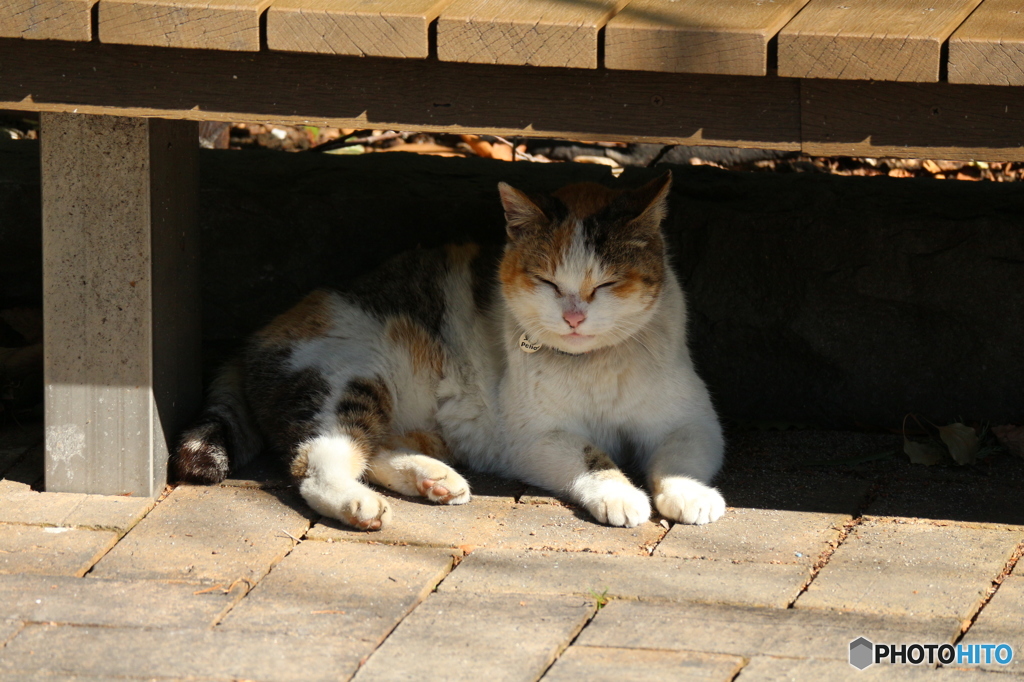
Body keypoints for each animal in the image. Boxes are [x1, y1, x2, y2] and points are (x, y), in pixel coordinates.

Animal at [172, 171, 724, 532]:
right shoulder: (534, 438)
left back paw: (435, 479)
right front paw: (621, 496)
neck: (594, 368)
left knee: (376, 448)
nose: (573, 318)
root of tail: (263, 331)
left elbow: (679, 456)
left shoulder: (693, 420)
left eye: (607, 284)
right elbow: (592, 456)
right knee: (317, 462)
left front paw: (691, 495)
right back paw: (360, 506)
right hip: (350, 377)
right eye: (546, 281)